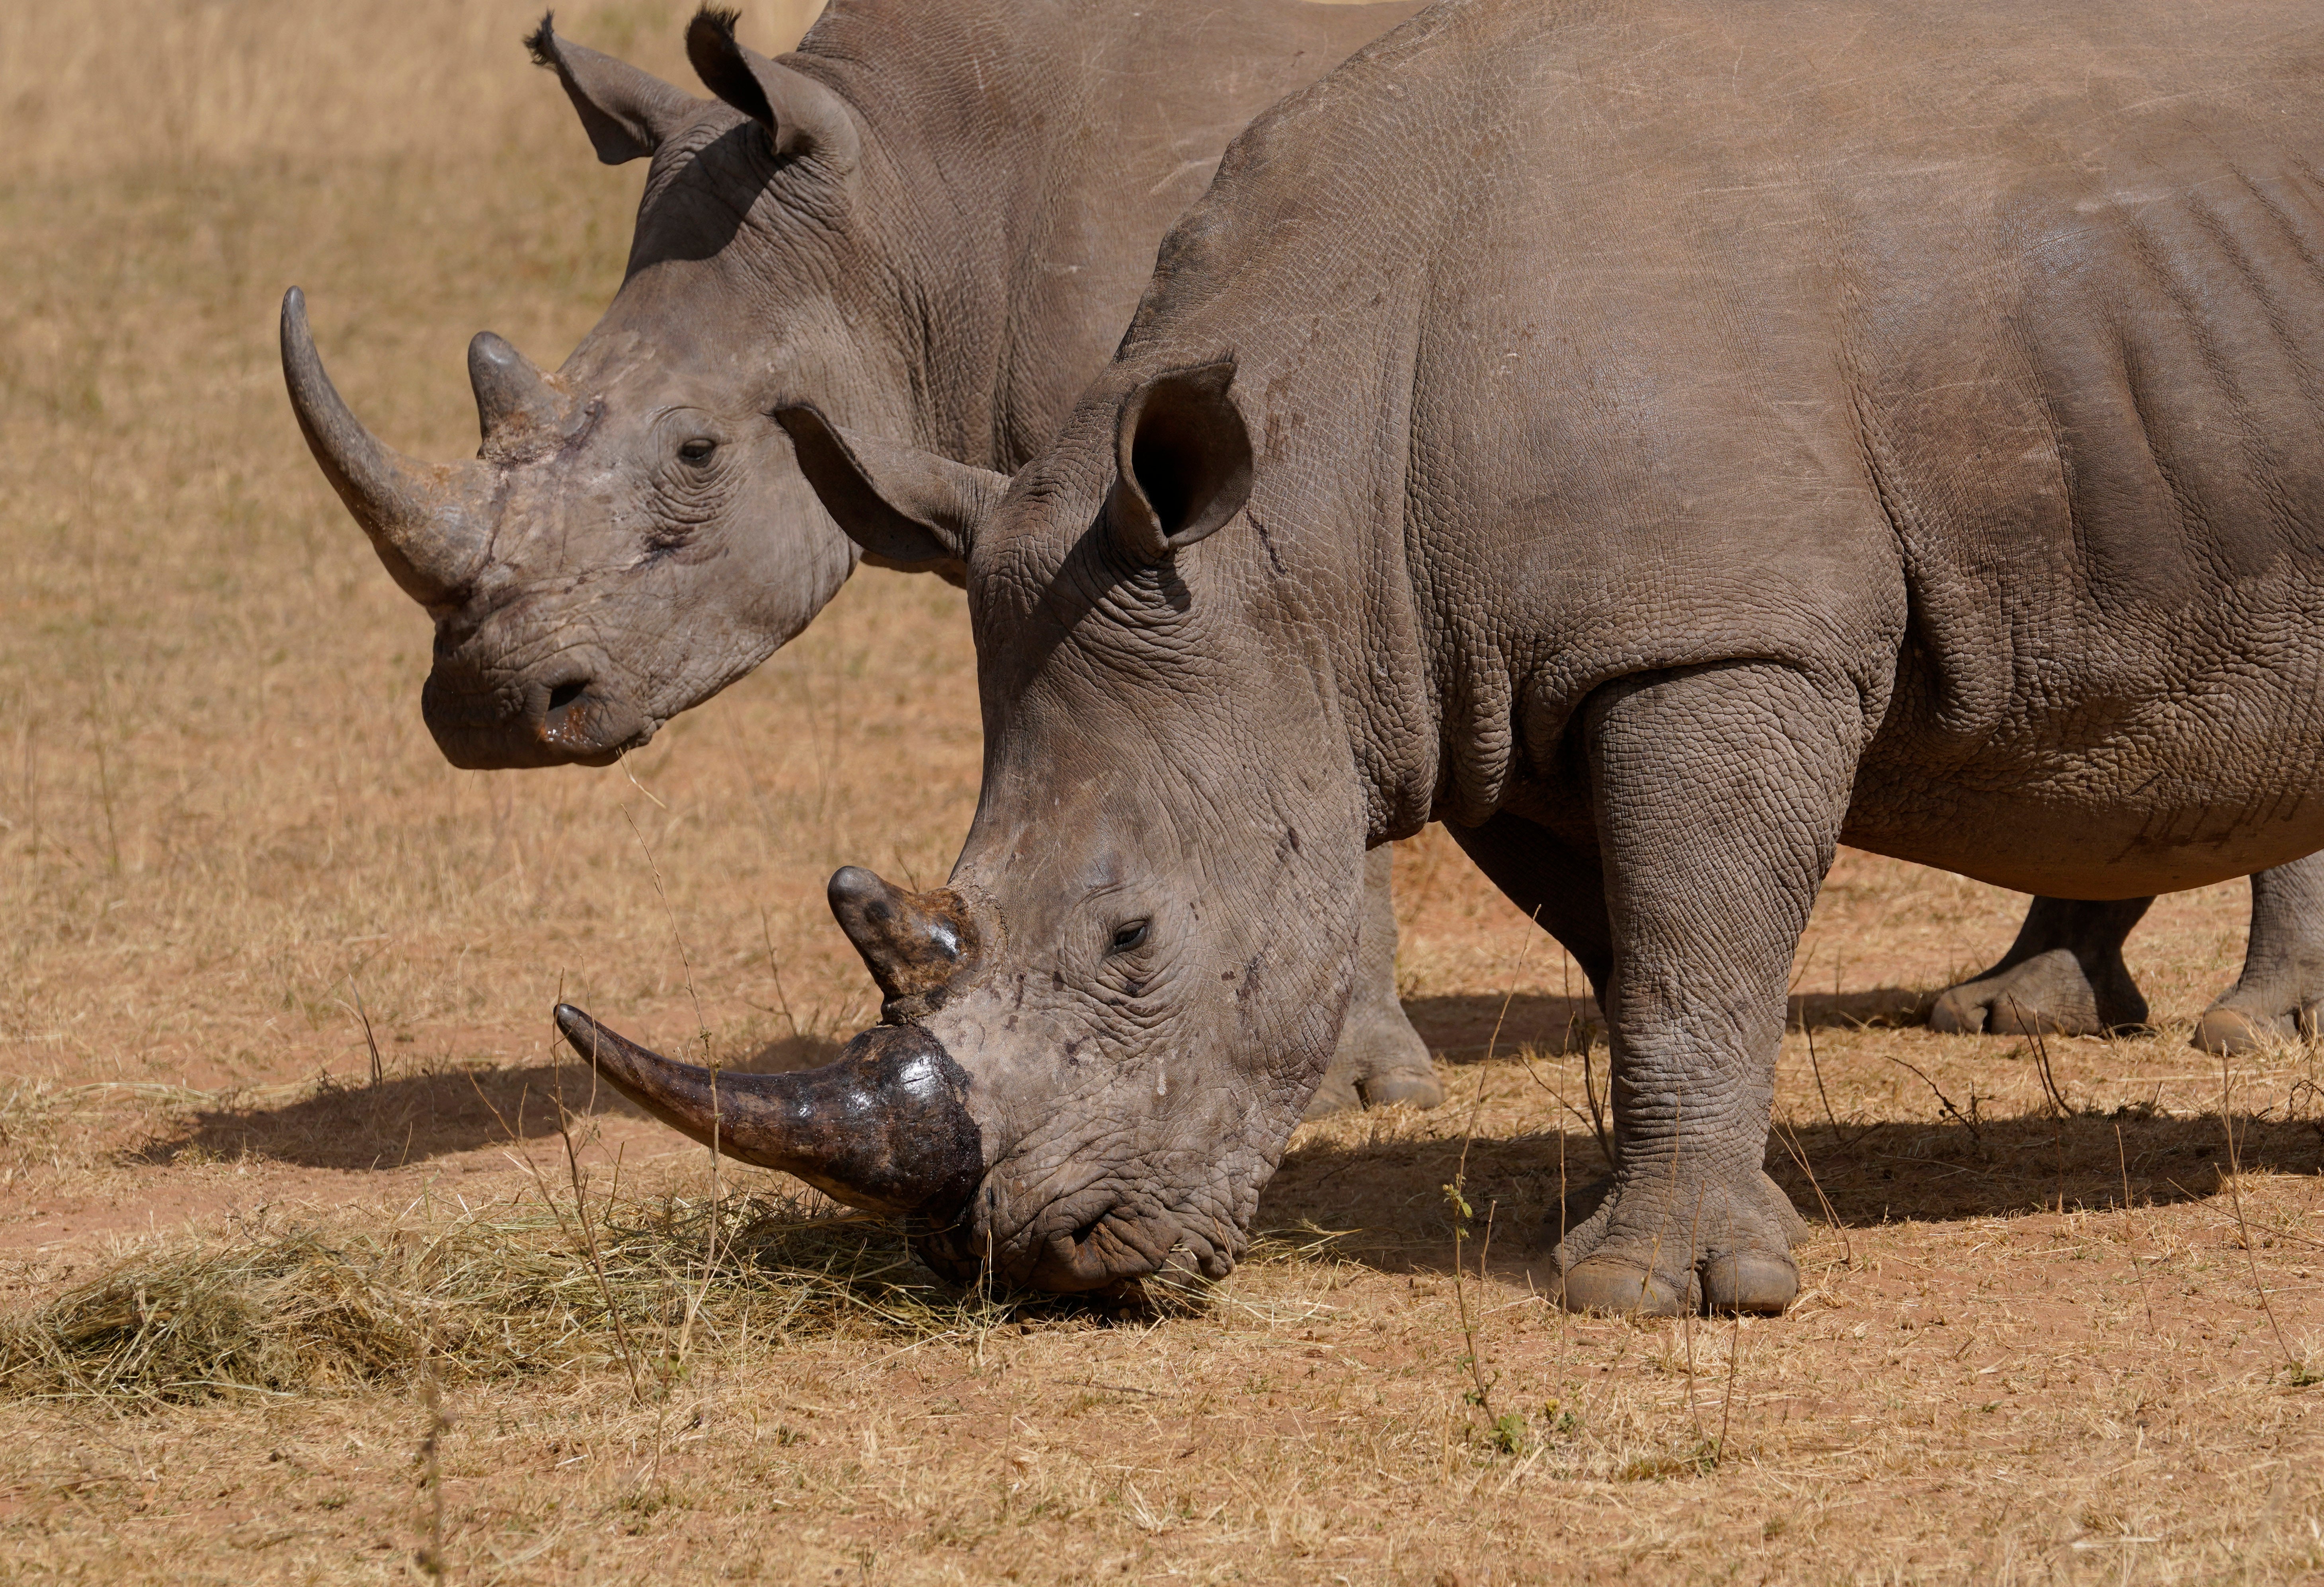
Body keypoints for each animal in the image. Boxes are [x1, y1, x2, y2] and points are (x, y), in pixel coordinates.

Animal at [557, 0, 2324, 1311]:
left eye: (1131, 940)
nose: (1029, 1261)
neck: (1308, 503)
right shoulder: (1498, 686)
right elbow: (1641, 950)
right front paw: (1673, 1213)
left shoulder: (1709, 642)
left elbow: (1688, 948)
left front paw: (1654, 1289)